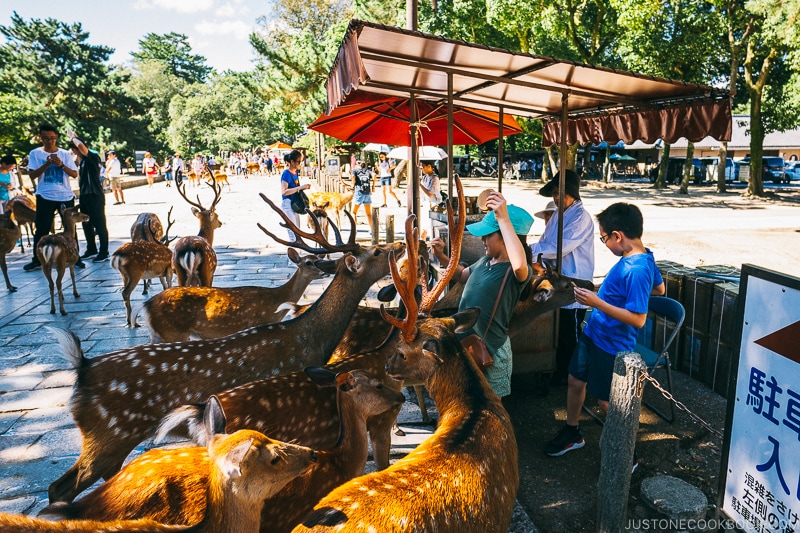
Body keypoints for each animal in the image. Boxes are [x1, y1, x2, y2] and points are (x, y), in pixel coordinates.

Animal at [139, 248, 326, 342]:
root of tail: (145, 306)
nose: (325, 271)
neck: (276, 302)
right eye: (309, 262)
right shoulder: (258, 323)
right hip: (174, 332)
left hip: (158, 334)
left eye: (320, 259)